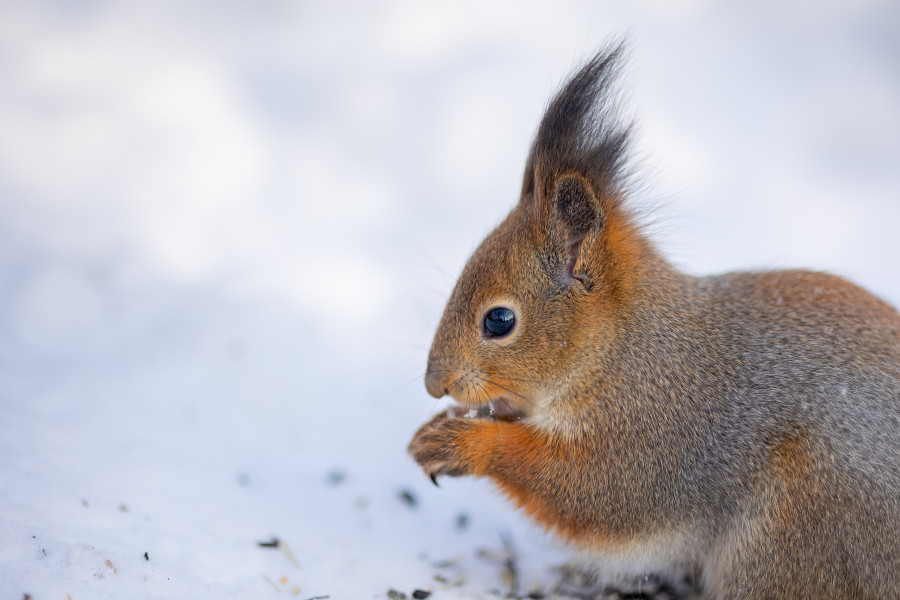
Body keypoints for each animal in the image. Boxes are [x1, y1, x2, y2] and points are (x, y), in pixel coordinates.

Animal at [410, 43, 900, 600]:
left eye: (498, 320)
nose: (435, 385)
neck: (623, 349)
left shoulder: (656, 433)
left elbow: (592, 491)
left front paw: (461, 443)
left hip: (798, 528)